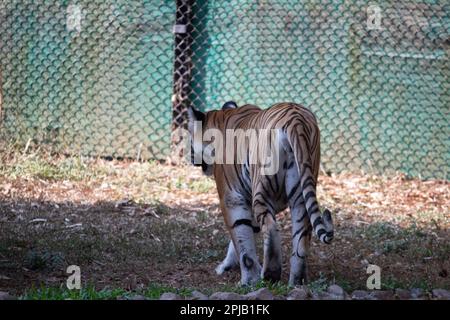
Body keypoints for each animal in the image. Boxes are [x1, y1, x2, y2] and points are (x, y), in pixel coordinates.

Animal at [186, 101, 334, 286]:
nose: (190, 158)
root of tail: (296, 119)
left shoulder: (232, 198)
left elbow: (241, 238)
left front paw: (248, 279)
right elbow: (241, 237)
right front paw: (228, 266)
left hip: (263, 189)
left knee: (271, 228)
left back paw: (271, 273)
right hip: (301, 194)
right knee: (301, 236)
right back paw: (296, 282)